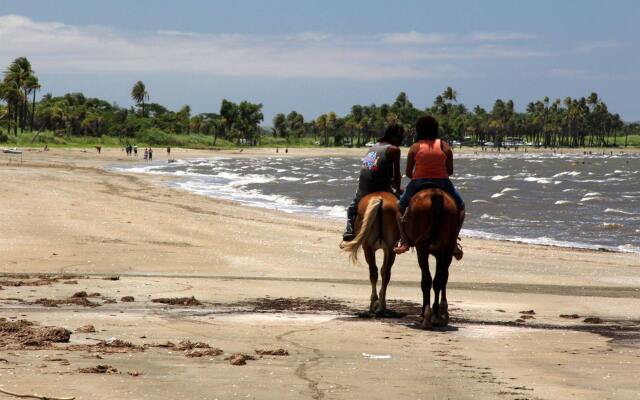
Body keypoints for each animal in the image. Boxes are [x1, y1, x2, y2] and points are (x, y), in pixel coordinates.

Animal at [404, 186, 460, 330]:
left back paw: (427, 316)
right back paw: (438, 314)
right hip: (447, 247)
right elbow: (441, 279)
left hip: (422, 249)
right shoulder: (442, 253)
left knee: (427, 280)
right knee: (440, 279)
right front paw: (440, 313)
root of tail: (436, 194)